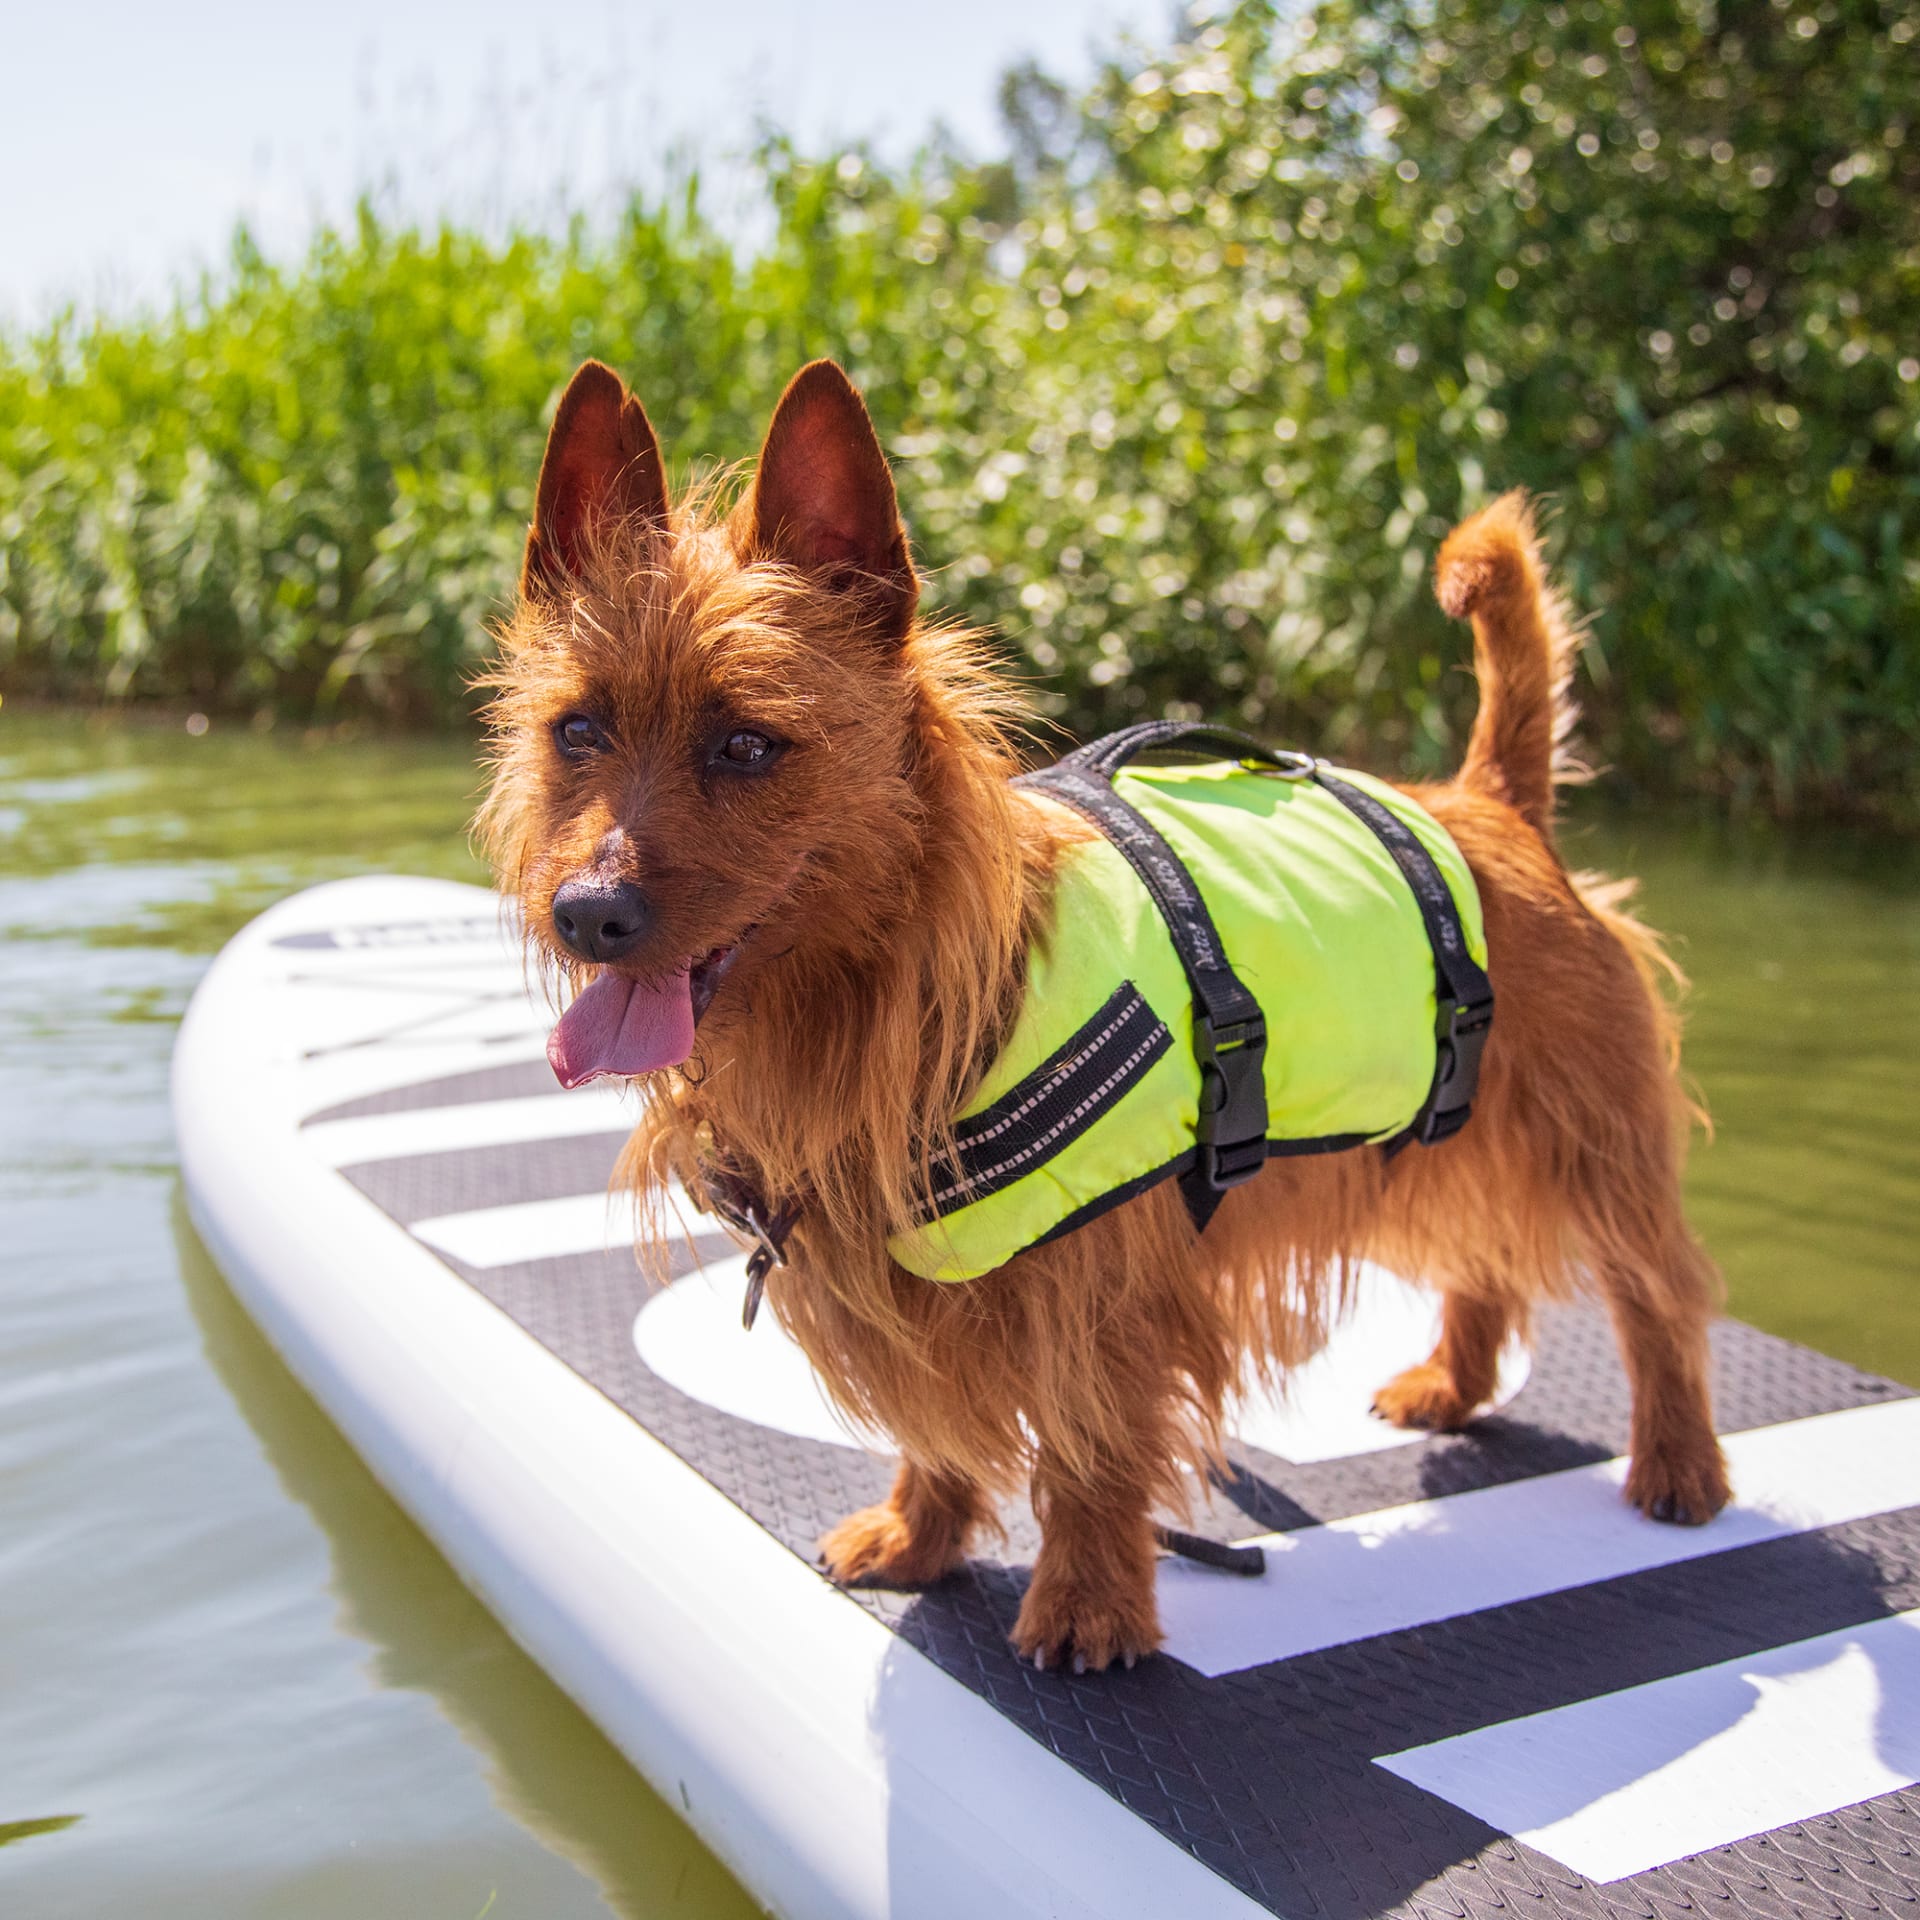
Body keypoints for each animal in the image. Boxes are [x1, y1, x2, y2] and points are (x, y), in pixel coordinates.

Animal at [483, 357, 1743, 1666]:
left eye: (745, 743)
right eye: (577, 729)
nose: (587, 914)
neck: (889, 997)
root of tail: (1493, 801)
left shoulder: (1102, 1290)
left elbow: (1088, 1446)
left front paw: (1087, 1607)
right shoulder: (910, 1282)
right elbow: (936, 1420)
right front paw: (921, 1534)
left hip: (1592, 1140)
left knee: (1658, 1293)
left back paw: (1679, 1464)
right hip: (1441, 1130)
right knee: (1483, 1252)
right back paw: (1453, 1380)